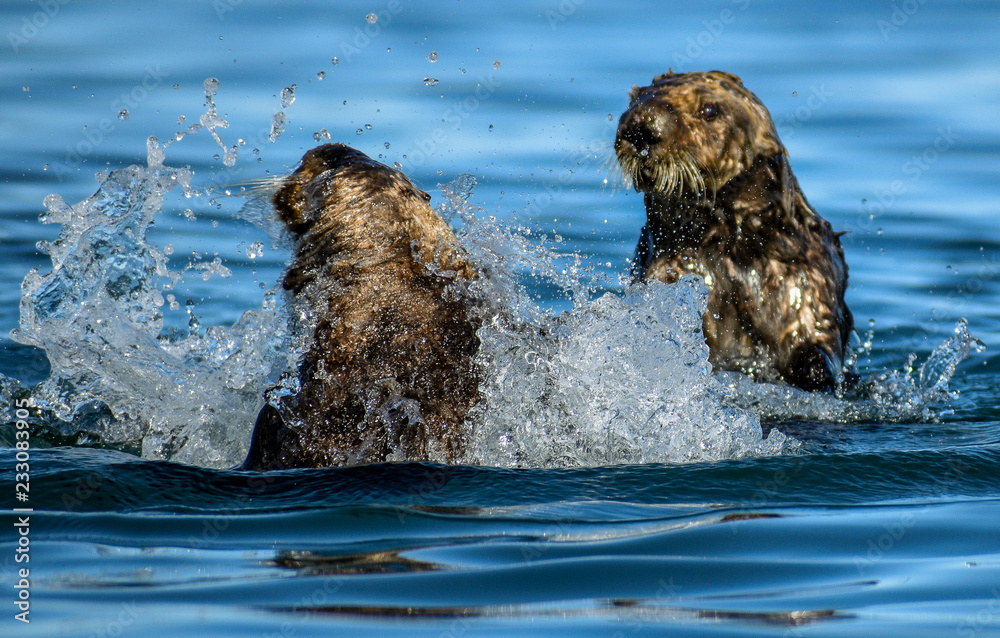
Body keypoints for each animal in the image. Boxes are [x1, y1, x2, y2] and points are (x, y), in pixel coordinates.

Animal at [614, 70, 854, 392]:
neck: (726, 245)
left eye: (709, 110)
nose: (641, 125)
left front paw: (813, 367)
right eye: (635, 98)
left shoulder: (807, 273)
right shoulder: (664, 269)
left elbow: (817, 330)